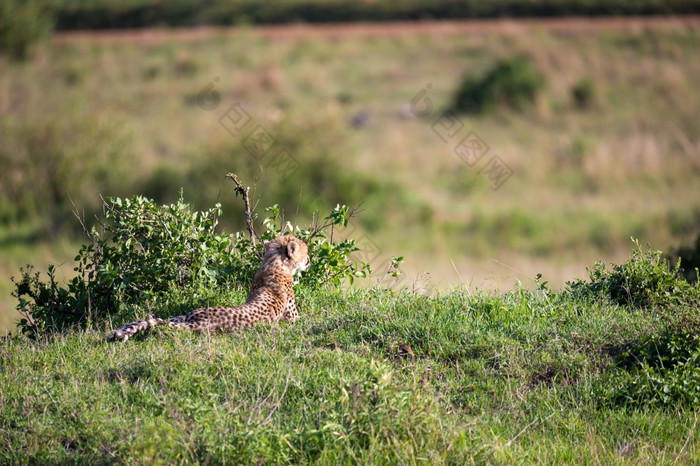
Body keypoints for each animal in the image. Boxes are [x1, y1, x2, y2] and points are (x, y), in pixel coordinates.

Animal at [107, 237, 308, 342]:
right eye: (305, 252)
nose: (309, 260)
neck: (275, 265)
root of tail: (202, 323)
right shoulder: (293, 318)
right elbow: (306, 317)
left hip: (184, 316)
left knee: (151, 319)